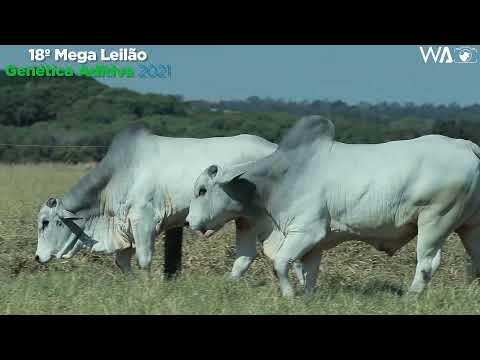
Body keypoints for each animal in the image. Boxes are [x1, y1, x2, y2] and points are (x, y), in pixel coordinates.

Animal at [34, 124, 278, 278]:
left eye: (45, 223)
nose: (37, 257)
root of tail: (274, 147)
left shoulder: (143, 221)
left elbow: (144, 259)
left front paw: (147, 289)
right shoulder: (126, 229)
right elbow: (122, 262)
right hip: (245, 219)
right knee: (245, 257)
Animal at [186, 116, 480, 296]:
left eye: (202, 190)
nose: (189, 222)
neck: (280, 178)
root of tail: (467, 146)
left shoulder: (306, 232)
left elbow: (280, 264)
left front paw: (289, 295)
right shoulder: (315, 243)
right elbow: (308, 273)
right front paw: (306, 297)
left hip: (435, 220)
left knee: (427, 263)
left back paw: (410, 297)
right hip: (470, 226)